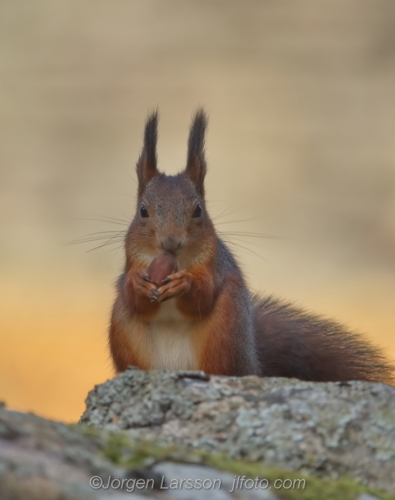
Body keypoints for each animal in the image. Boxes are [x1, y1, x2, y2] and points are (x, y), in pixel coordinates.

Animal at [108, 109, 395, 382]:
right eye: (143, 211)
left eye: (198, 210)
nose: (171, 241)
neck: (175, 262)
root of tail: (253, 367)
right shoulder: (133, 260)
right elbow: (136, 300)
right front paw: (138, 283)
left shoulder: (214, 265)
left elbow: (202, 296)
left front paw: (185, 283)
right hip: (124, 330)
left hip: (224, 331)